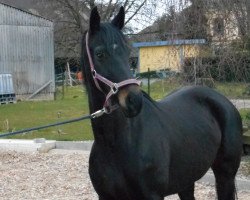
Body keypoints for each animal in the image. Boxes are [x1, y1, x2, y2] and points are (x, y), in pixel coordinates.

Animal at [81, 6, 242, 200]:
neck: (115, 144)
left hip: (225, 174)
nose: (134, 101)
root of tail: (224, 101)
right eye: (99, 54)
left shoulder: (153, 195)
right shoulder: (105, 196)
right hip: (186, 180)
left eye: (127, 53)